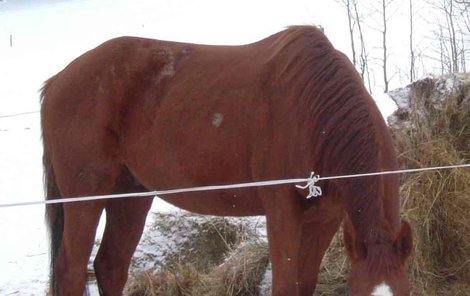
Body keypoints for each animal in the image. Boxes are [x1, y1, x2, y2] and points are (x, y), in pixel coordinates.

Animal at [42, 26, 414, 296]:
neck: (315, 117)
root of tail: (57, 80)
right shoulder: (282, 214)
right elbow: (286, 285)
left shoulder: (326, 220)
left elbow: (305, 284)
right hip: (86, 197)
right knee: (72, 270)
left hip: (130, 196)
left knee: (110, 266)